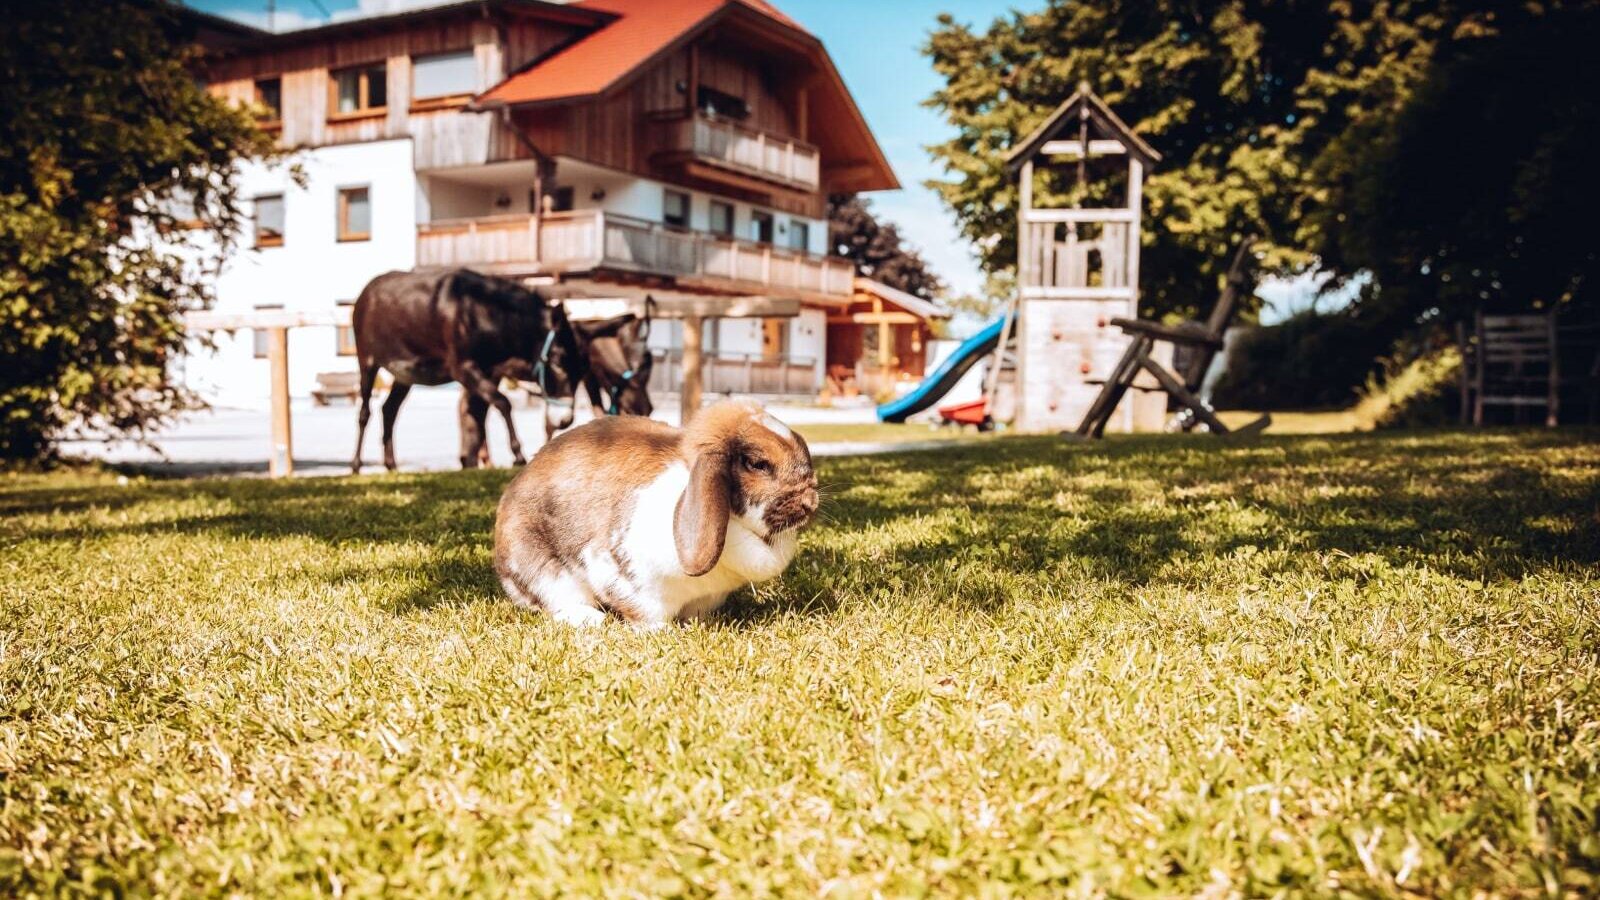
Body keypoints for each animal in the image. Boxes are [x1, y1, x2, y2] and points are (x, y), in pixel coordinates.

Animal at [493, 399, 819, 627]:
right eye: (758, 464)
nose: (811, 501)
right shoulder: (621, 575)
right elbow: (645, 613)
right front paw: (662, 631)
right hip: (542, 571)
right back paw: (590, 620)